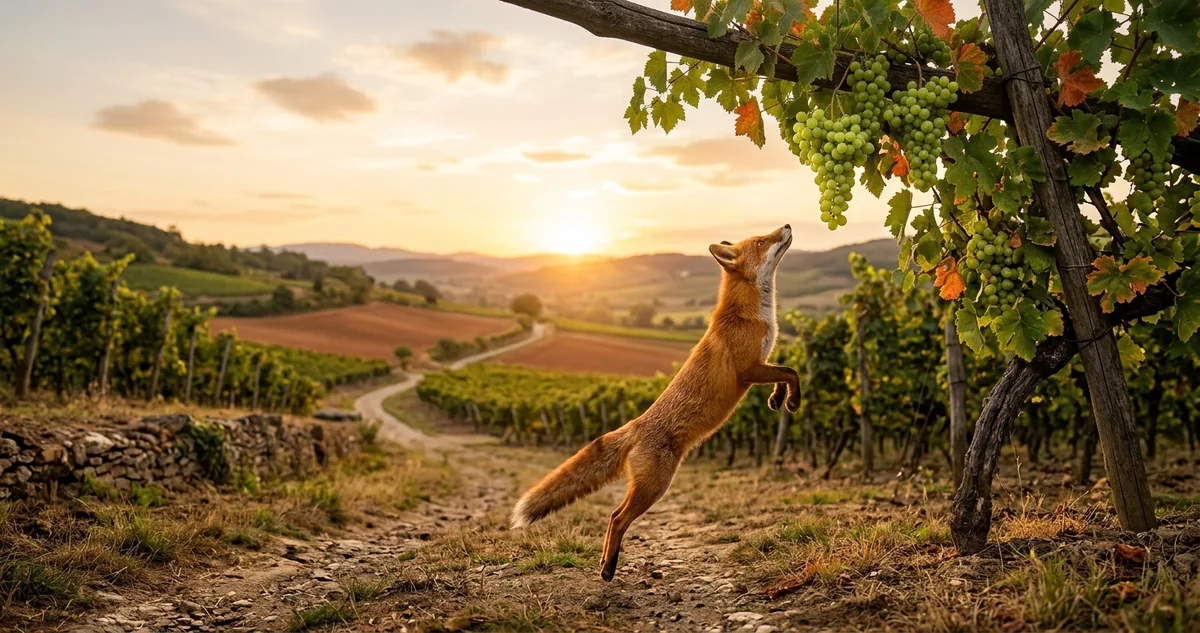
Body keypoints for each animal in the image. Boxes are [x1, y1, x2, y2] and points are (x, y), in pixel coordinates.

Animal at [510, 224, 801, 581]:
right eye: (761, 241)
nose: (786, 226)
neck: (749, 313)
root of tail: (635, 425)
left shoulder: (760, 365)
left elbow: (783, 373)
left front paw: (777, 400)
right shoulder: (748, 370)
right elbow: (791, 372)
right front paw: (792, 401)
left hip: (648, 487)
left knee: (613, 516)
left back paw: (607, 564)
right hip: (655, 487)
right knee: (617, 518)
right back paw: (608, 569)